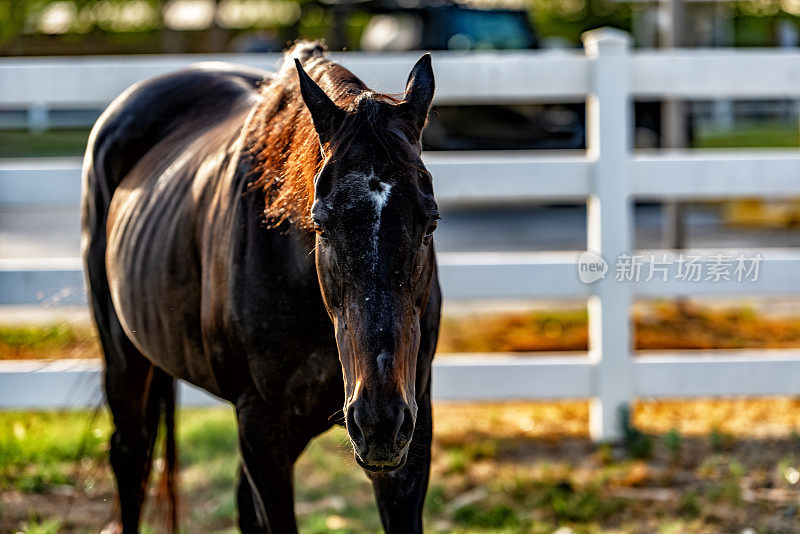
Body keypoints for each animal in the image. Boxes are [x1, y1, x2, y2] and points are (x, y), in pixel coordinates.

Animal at [83, 44, 438, 532]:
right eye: (321, 224)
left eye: (430, 223)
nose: (379, 421)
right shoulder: (262, 430)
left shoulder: (411, 436)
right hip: (124, 356)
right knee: (131, 457)